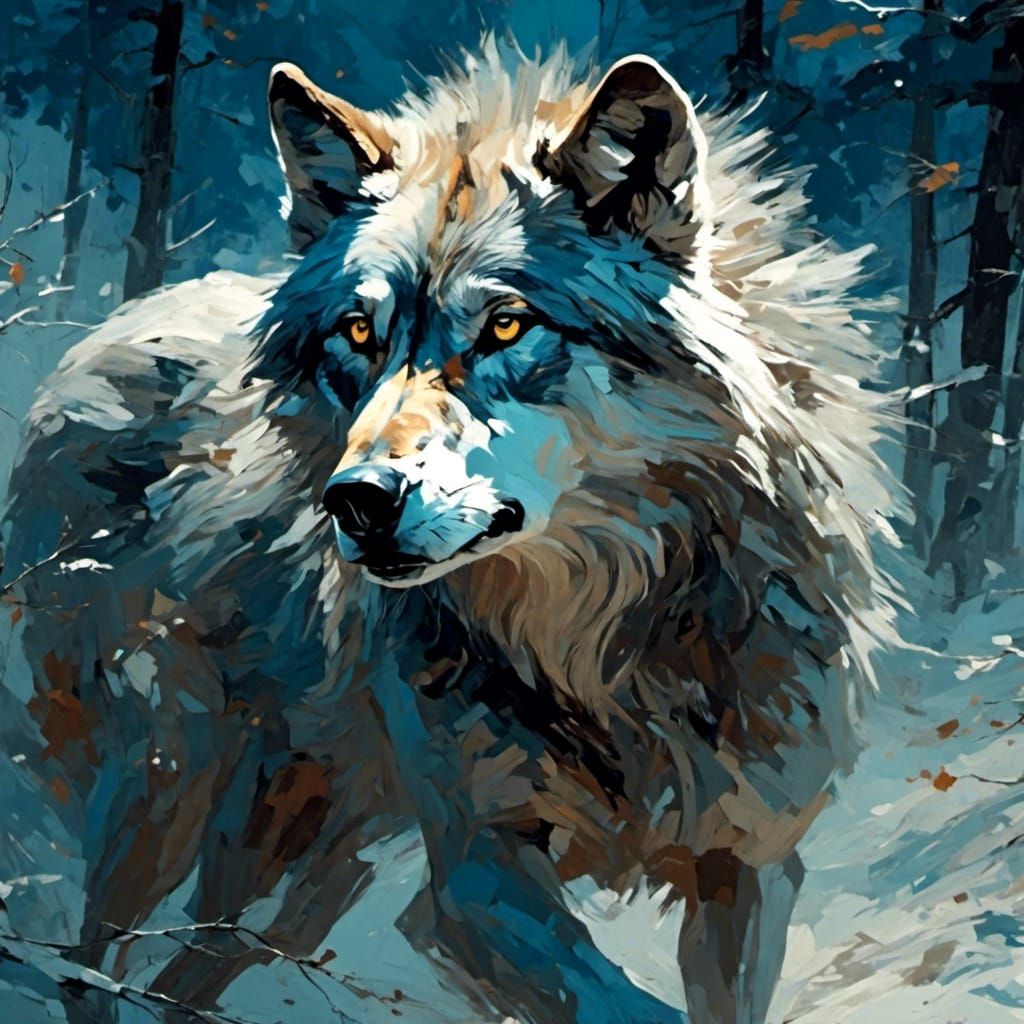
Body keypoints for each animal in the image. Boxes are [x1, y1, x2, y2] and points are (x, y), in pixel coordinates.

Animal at [1, 41, 899, 1024]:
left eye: (506, 324)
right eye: (360, 333)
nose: (355, 500)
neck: (603, 653)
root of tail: (107, 331)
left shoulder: (750, 867)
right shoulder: (472, 882)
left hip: (312, 864)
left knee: (182, 977)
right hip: (167, 792)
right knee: (91, 963)